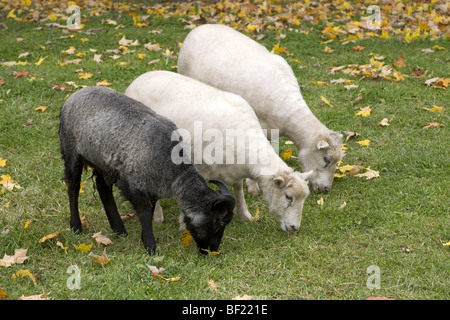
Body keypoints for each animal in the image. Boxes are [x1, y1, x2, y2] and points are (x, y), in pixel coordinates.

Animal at [59, 85, 236, 255]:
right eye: (219, 222)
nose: (212, 251)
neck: (174, 173)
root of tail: (76, 93)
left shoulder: (151, 189)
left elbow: (150, 213)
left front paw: (145, 239)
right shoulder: (133, 185)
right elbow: (144, 214)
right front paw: (151, 247)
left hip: (104, 163)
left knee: (103, 188)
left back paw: (118, 229)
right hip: (71, 151)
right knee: (73, 186)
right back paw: (76, 226)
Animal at [125, 70, 312, 232]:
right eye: (288, 197)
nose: (295, 228)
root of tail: (138, 79)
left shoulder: (236, 170)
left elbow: (239, 189)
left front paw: (244, 215)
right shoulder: (201, 169)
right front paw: (184, 225)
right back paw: (157, 216)